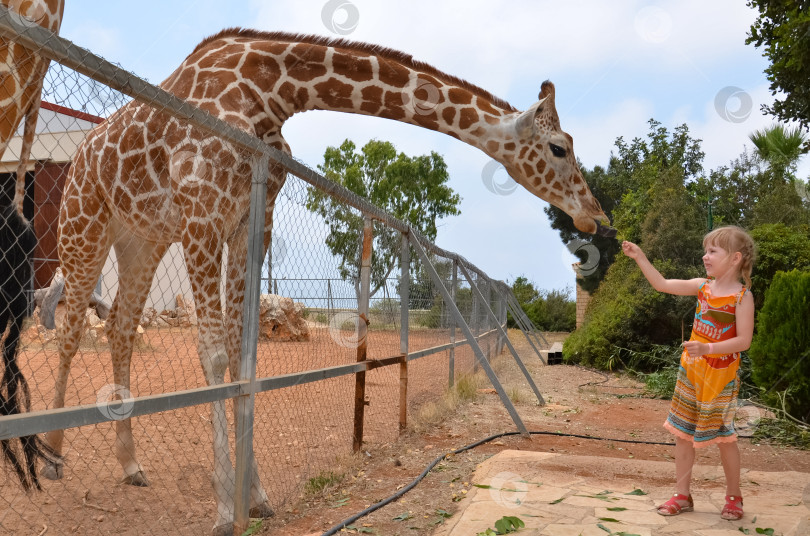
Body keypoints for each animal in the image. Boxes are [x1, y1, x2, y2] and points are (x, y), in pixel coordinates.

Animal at [44, 30, 612, 536]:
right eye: (559, 148)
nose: (596, 216)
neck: (269, 92)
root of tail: (78, 157)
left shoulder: (252, 217)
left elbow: (243, 353)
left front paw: (257, 497)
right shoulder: (202, 212)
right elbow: (215, 355)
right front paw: (225, 510)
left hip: (141, 238)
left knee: (119, 326)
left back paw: (131, 466)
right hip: (84, 223)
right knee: (70, 328)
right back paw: (51, 454)